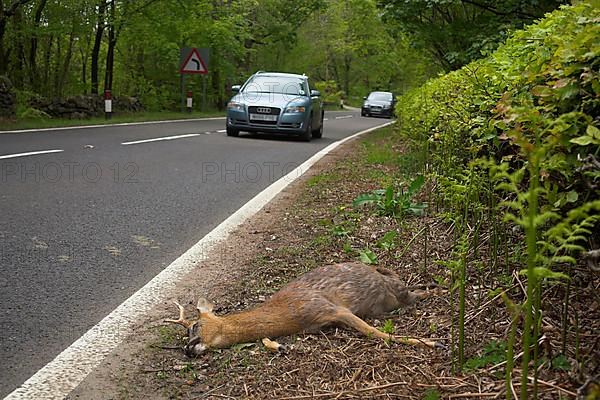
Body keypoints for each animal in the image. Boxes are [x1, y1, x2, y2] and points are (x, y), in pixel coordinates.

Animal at [166, 262, 442, 356]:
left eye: (194, 326)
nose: (187, 349)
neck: (291, 315)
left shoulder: (329, 307)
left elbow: (376, 333)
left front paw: (433, 342)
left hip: (397, 291)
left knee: (414, 292)